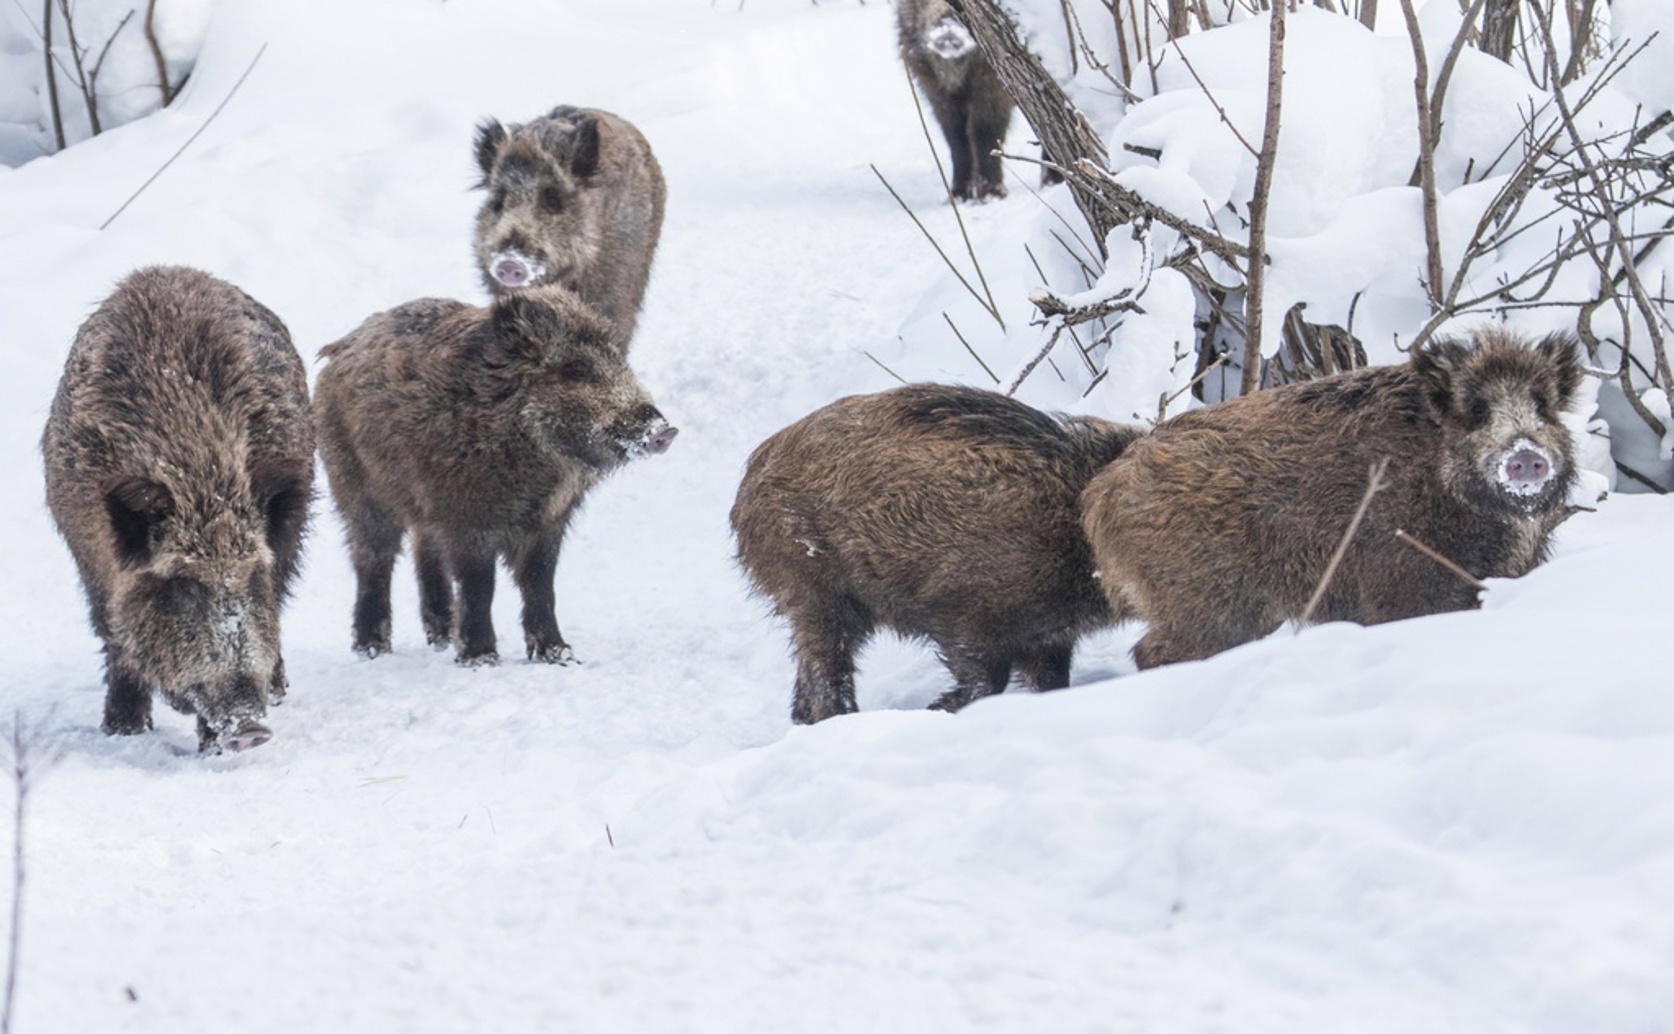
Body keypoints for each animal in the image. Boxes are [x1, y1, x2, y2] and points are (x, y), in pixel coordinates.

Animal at [42, 266, 315, 753]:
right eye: (185, 584)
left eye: (252, 575)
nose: (251, 730)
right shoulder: (93, 563)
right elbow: (116, 635)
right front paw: (122, 732)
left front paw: (210, 750)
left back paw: (278, 690)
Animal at [313, 285, 676, 666]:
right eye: (575, 369)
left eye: (619, 359)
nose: (665, 431)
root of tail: (338, 348)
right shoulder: (468, 517)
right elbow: (479, 586)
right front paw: (481, 659)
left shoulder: (549, 520)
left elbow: (541, 583)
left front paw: (559, 655)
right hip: (357, 488)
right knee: (372, 559)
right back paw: (372, 649)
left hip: (421, 506)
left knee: (423, 550)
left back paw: (442, 638)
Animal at [731, 384, 1142, 724]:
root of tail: (752, 471)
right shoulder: (963, 613)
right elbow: (987, 677)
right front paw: (937, 708)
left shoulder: (1050, 636)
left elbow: (1051, 680)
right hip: (812, 584)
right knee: (826, 660)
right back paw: (838, 718)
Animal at [898, 0, 1016, 201]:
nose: (947, 25)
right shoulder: (934, 90)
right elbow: (955, 137)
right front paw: (958, 195)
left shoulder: (994, 87)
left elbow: (986, 132)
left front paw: (990, 194)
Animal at [1079, 328, 1583, 669]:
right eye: (1477, 410)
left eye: (1542, 405)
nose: (1526, 457)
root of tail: (1103, 489)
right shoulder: (1402, 583)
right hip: (1209, 602)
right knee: (1154, 652)